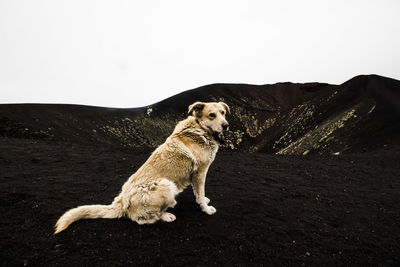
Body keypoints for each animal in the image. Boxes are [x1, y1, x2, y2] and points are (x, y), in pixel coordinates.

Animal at [53, 101, 230, 233]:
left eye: (223, 112)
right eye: (212, 115)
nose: (226, 125)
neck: (200, 128)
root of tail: (121, 202)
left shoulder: (196, 175)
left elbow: (198, 193)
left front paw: (204, 201)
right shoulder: (200, 172)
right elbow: (200, 192)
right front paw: (206, 209)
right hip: (166, 184)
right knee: (142, 219)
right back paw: (166, 215)